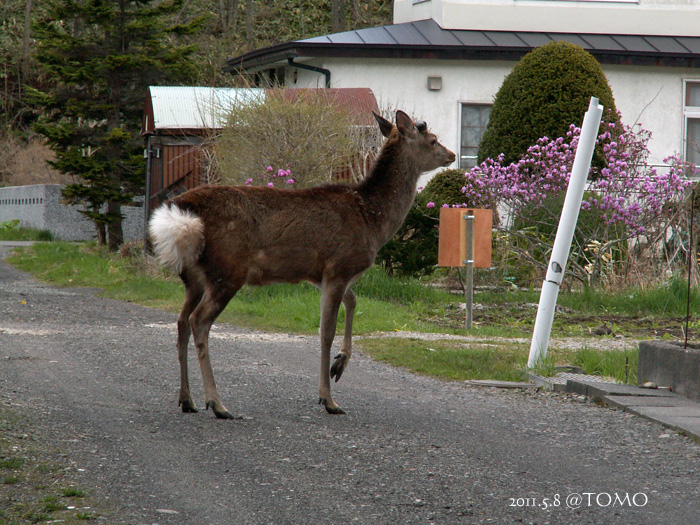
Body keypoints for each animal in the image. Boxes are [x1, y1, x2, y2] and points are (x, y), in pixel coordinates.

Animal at [149, 109, 454, 418]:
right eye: (432, 140)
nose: (452, 154)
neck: (373, 220)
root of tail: (179, 213)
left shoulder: (324, 273)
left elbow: (353, 301)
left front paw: (339, 364)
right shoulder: (339, 266)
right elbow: (325, 331)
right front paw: (328, 399)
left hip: (194, 277)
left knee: (182, 322)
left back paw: (187, 400)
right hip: (228, 269)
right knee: (199, 321)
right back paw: (217, 403)